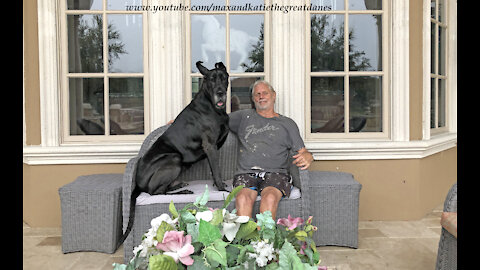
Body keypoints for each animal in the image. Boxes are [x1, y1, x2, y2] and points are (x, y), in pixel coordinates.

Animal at [120, 61, 232, 245]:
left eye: (224, 78)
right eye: (211, 79)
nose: (220, 93)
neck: (211, 105)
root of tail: (137, 182)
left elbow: (213, 169)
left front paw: (217, 184)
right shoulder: (210, 145)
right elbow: (216, 169)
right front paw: (222, 187)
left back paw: (178, 185)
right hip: (174, 157)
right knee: (155, 191)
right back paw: (181, 191)